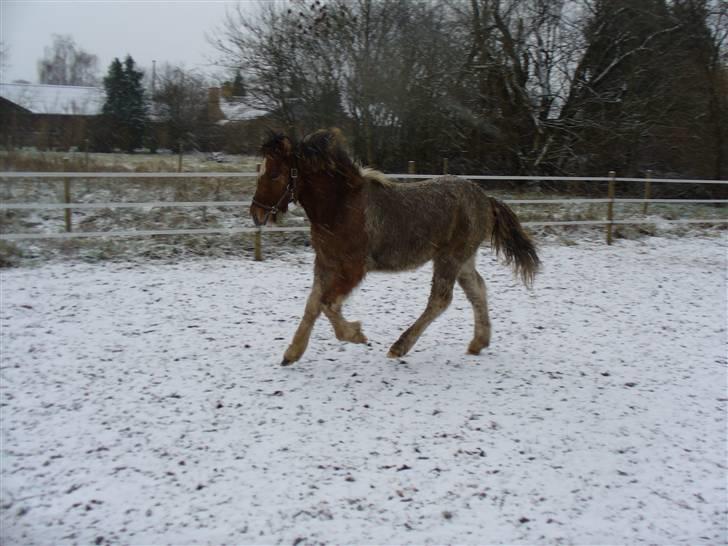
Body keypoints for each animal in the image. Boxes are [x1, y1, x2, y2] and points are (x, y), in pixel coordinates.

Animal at [250, 129, 540, 366]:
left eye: (274, 174)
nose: (256, 214)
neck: (340, 207)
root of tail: (486, 198)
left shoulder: (353, 268)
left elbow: (327, 305)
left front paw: (356, 334)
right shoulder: (325, 263)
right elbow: (313, 305)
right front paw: (292, 353)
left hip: (449, 257)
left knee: (440, 299)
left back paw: (400, 346)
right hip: (462, 259)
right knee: (477, 289)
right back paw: (478, 343)